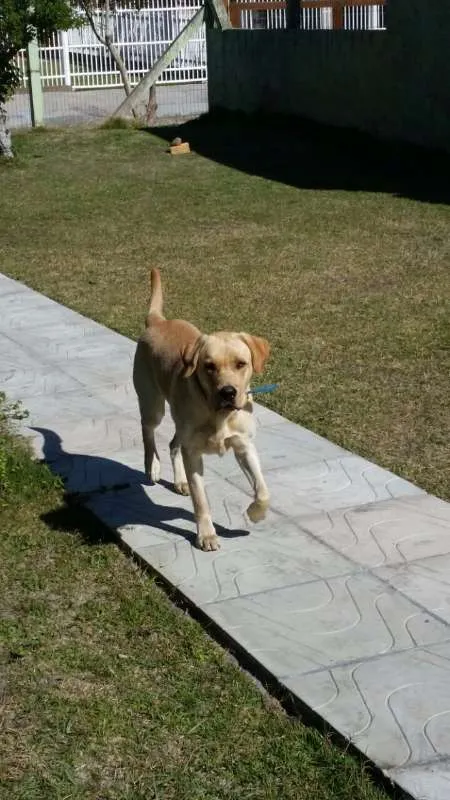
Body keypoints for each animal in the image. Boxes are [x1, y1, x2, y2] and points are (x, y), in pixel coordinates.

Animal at [132, 268, 268, 552]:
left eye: (241, 364)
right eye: (209, 366)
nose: (228, 392)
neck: (219, 414)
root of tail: (158, 321)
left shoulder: (244, 446)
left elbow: (263, 491)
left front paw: (255, 513)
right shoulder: (193, 453)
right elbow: (201, 500)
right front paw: (206, 535)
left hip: (179, 423)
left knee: (173, 443)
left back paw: (179, 480)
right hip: (153, 404)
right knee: (148, 431)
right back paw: (153, 467)